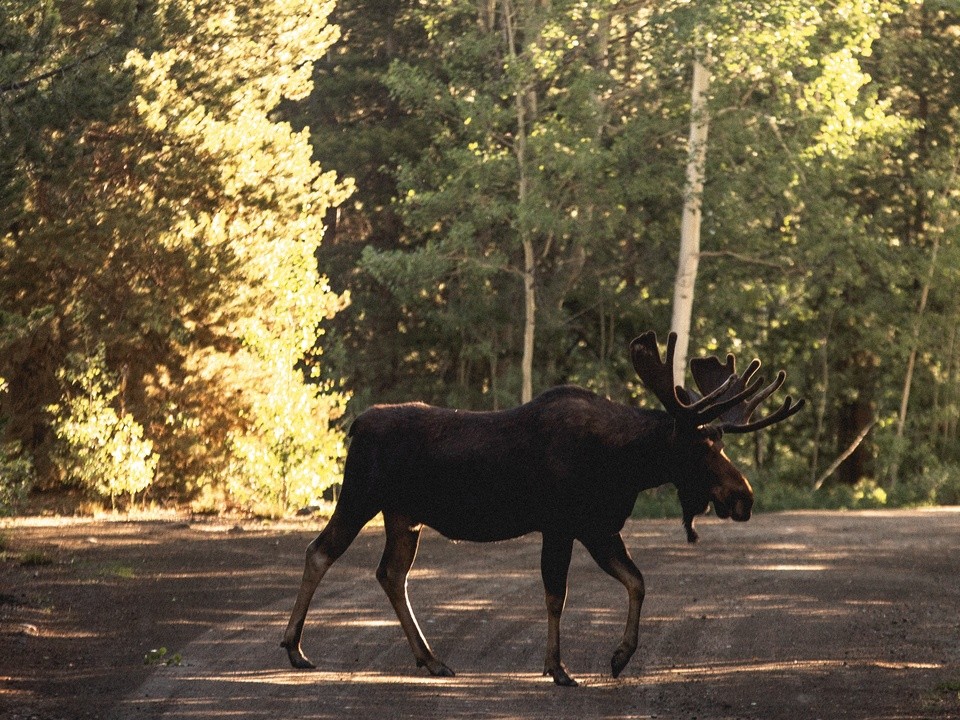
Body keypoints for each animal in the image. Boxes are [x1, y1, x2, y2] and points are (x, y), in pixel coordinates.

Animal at [280, 332, 804, 688]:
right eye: (701, 445)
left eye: (721, 442)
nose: (744, 497)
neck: (624, 466)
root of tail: (356, 424)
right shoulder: (561, 524)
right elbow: (557, 595)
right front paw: (558, 667)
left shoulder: (598, 527)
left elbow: (637, 581)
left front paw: (619, 657)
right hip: (361, 496)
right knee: (320, 552)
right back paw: (294, 647)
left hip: (404, 517)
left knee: (390, 573)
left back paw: (431, 659)